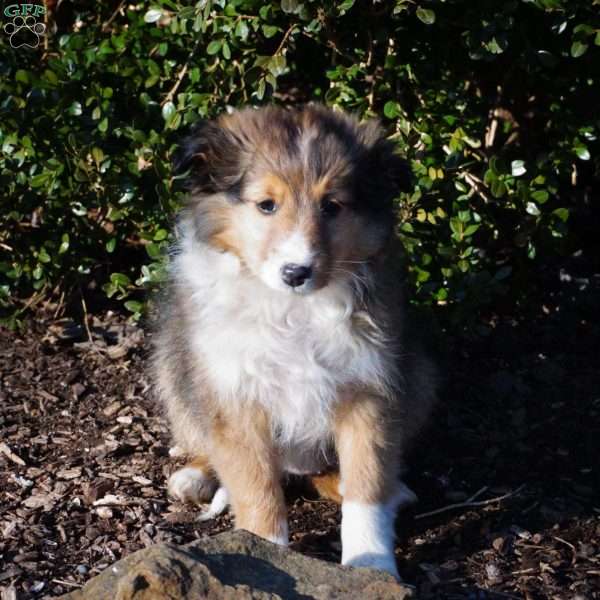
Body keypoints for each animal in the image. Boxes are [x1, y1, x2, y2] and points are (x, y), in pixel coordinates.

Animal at [152, 105, 436, 580]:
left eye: (332, 206)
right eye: (266, 205)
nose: (296, 272)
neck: (293, 309)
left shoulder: (369, 390)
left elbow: (366, 488)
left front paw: (372, 565)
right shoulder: (237, 395)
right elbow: (258, 492)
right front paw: (267, 554)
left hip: (418, 379)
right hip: (174, 371)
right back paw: (195, 476)